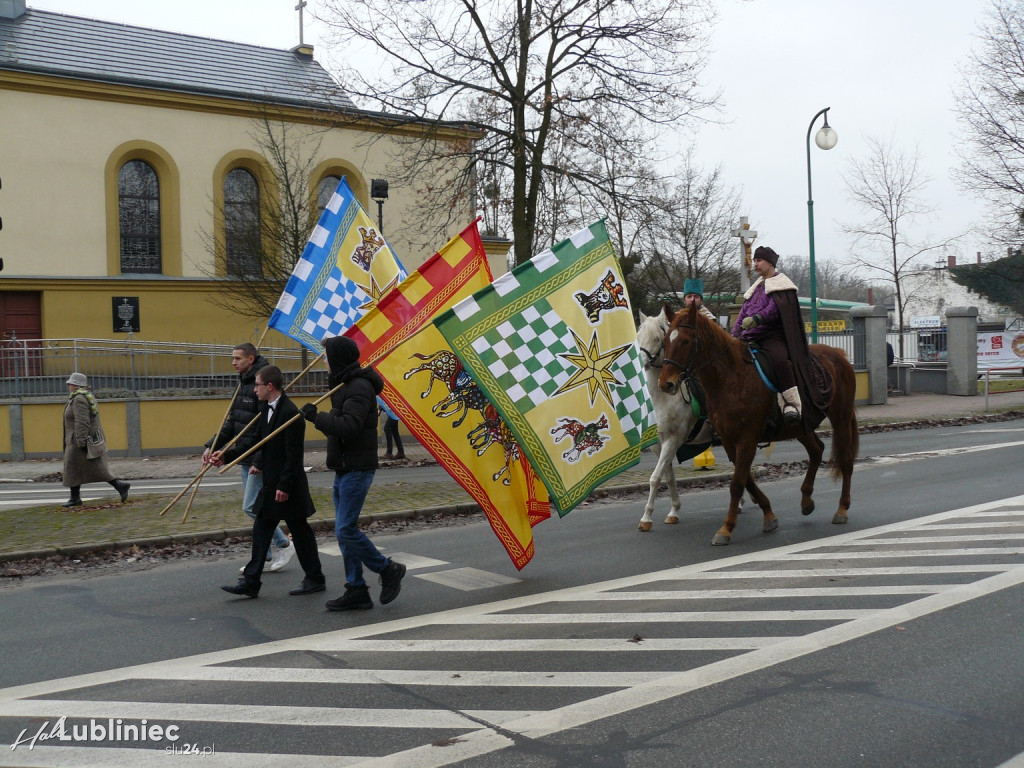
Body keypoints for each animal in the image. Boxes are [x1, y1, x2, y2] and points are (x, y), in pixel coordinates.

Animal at [655, 303, 856, 548]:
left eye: (685, 341)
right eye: (665, 340)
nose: (666, 384)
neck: (731, 377)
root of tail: (838, 354)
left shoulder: (747, 439)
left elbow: (737, 483)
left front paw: (726, 529)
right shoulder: (730, 441)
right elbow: (745, 479)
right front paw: (768, 514)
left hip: (841, 418)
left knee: (846, 460)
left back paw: (842, 509)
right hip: (800, 426)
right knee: (817, 450)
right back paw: (806, 500)